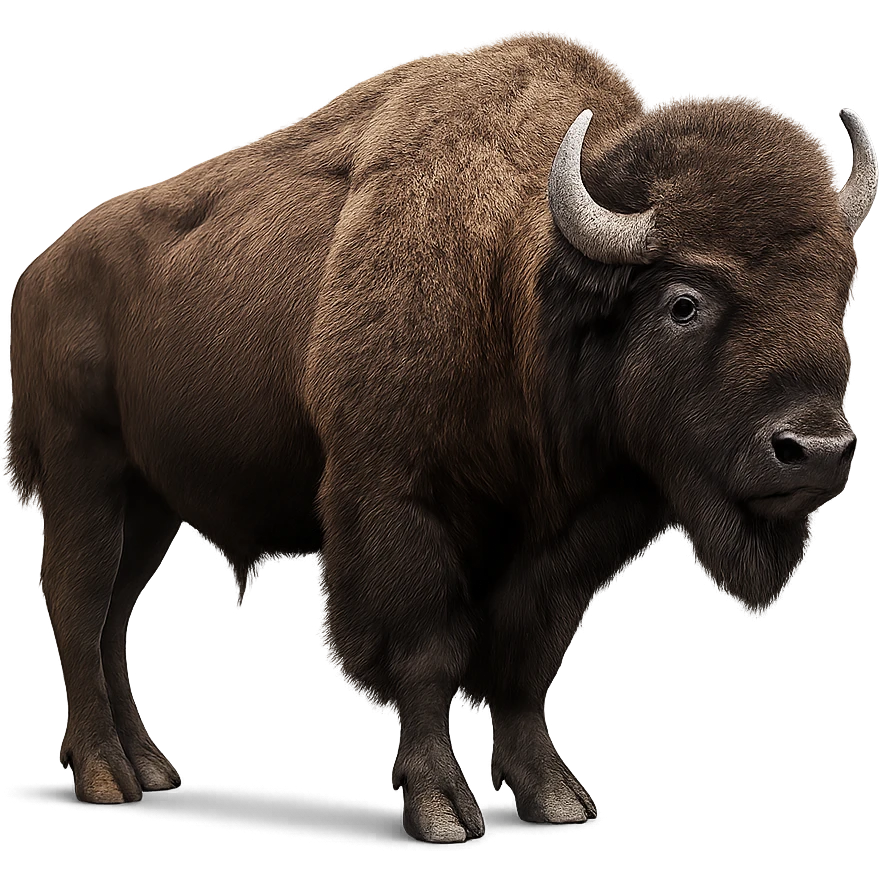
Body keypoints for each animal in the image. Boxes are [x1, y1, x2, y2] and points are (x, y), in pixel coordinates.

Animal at [5, 30, 875, 842]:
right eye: (682, 302)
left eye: (835, 291)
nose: (815, 450)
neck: (517, 280)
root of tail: (41, 271)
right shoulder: (398, 506)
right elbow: (425, 652)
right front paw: (441, 808)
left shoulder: (568, 540)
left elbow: (523, 662)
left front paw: (555, 797)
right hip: (86, 478)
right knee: (80, 608)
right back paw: (106, 776)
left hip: (151, 503)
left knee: (115, 618)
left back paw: (149, 765)